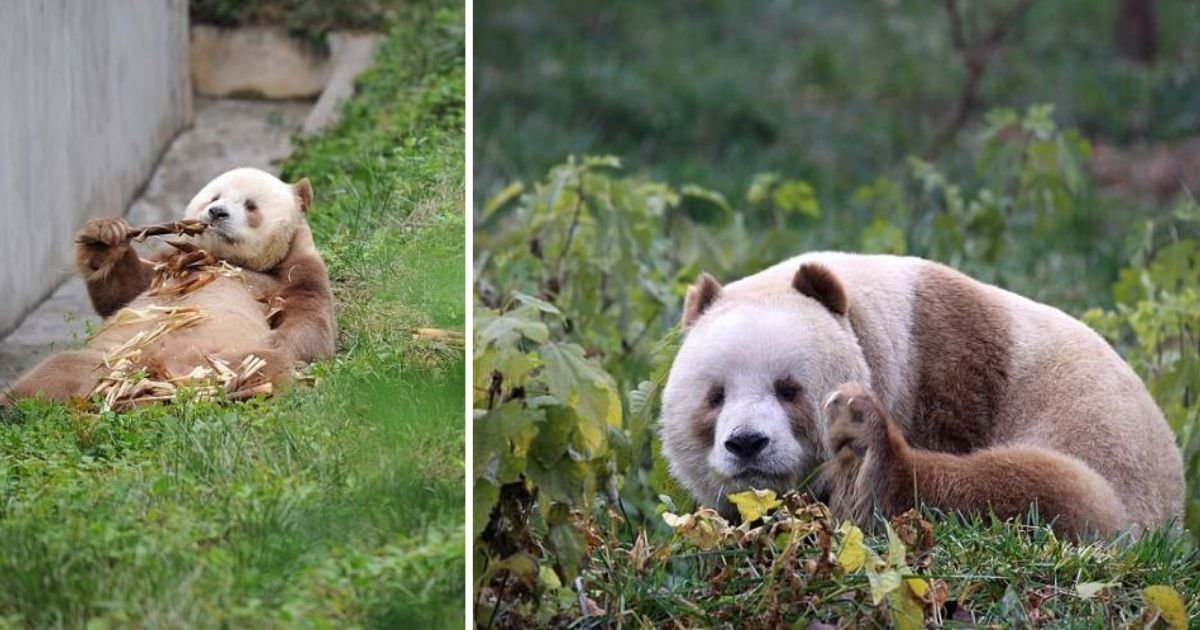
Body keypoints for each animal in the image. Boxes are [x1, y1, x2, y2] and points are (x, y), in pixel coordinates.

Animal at [3, 164, 338, 405]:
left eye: (251, 205)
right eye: (214, 197)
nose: (216, 212)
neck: (222, 259)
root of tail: (152, 373)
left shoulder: (294, 269)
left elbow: (309, 322)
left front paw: (281, 339)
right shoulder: (172, 262)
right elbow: (123, 293)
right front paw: (104, 237)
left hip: (214, 359)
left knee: (263, 365)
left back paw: (237, 391)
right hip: (109, 358)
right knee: (55, 372)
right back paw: (12, 405)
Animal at [662, 253, 1185, 537]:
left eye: (788, 389)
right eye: (715, 397)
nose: (747, 443)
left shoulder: (946, 369)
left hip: (1110, 466)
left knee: (1048, 491)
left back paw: (870, 460)